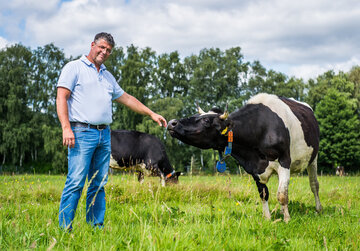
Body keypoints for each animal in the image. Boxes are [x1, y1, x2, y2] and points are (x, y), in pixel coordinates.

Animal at [169, 92, 324, 222]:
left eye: (206, 120)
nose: (172, 122)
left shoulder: (284, 161)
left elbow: (281, 194)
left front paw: (287, 220)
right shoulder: (254, 169)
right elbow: (264, 194)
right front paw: (268, 218)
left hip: (313, 159)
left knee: (314, 185)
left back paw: (318, 209)